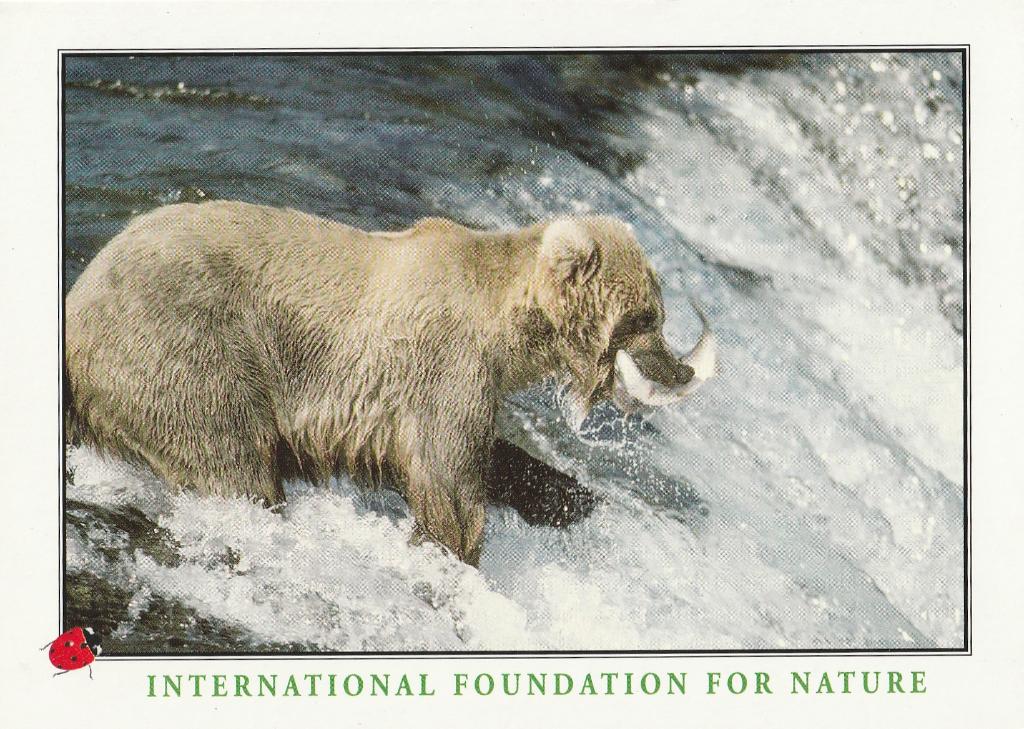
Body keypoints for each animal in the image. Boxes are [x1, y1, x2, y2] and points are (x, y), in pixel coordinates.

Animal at [64, 201, 713, 565]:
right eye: (646, 318)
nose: (679, 367)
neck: (508, 329)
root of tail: (78, 302)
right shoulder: (442, 369)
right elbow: (449, 482)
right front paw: (458, 552)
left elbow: (494, 457)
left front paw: (571, 497)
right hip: (188, 351)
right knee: (230, 460)